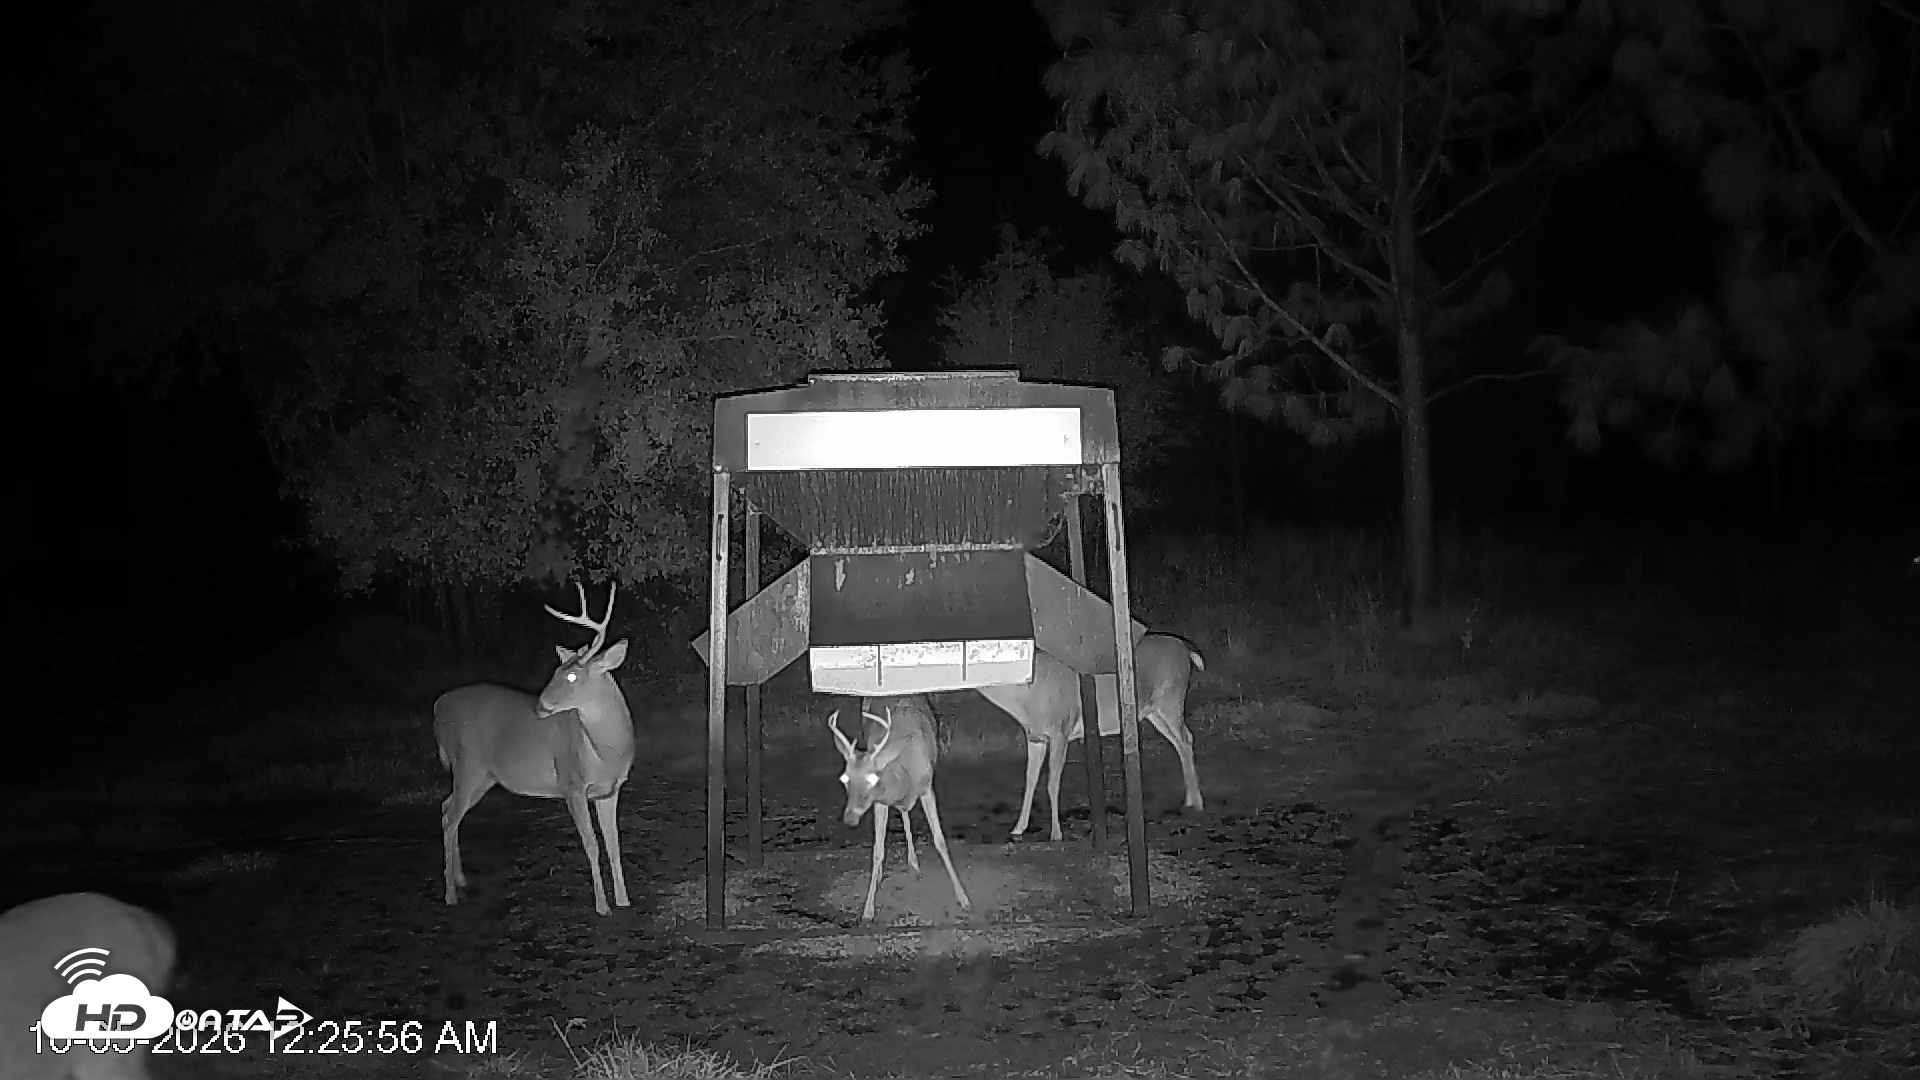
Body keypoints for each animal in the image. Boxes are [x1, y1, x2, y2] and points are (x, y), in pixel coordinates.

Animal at [433, 580, 636, 916]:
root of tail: (437, 707)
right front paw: (602, 906)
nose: (540, 706)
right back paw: (449, 894)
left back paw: (460, 879)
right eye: (554, 672)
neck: (606, 752)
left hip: (483, 776)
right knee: (449, 817)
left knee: (447, 807)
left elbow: (614, 843)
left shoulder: (610, 790)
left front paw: (623, 899)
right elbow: (592, 845)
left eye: (571, 674)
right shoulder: (571, 784)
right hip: (467, 765)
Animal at [829, 695, 972, 924]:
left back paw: (913, 862)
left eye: (872, 778)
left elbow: (940, 840)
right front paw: (868, 909)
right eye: (845, 778)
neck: (904, 772)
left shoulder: (927, 787)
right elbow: (878, 851)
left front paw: (964, 898)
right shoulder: (880, 802)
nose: (850, 818)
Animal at [976, 633, 1206, 842]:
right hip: (1153, 711)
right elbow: (1030, 780)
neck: (1025, 699)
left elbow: (1052, 783)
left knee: (1187, 738)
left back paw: (1198, 803)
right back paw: (1189, 800)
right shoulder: (1035, 736)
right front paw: (1018, 829)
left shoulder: (1061, 729)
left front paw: (1056, 834)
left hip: (1171, 699)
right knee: (1180, 743)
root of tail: (1186, 648)